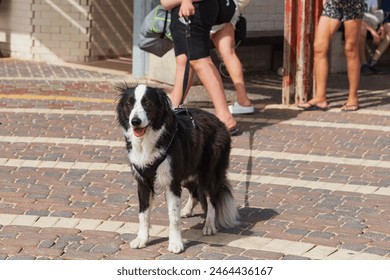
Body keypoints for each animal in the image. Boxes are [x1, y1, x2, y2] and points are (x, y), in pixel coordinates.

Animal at [115, 84, 238, 253]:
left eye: (147, 103)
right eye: (129, 104)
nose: (135, 121)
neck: (149, 139)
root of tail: (218, 120)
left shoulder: (171, 182)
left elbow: (173, 216)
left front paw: (175, 243)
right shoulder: (143, 182)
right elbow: (143, 214)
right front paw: (142, 239)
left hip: (208, 173)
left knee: (212, 198)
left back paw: (209, 225)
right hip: (187, 171)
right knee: (195, 190)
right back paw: (187, 210)